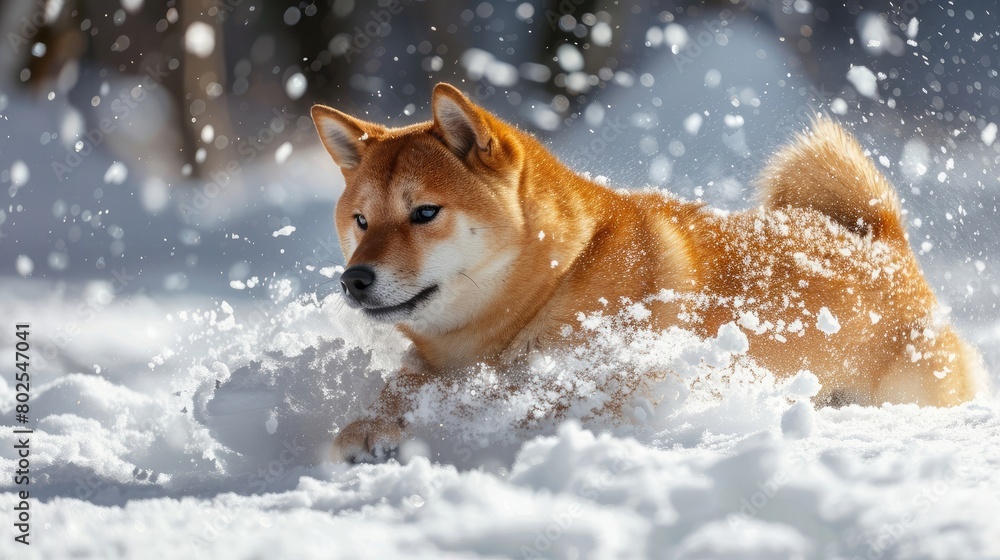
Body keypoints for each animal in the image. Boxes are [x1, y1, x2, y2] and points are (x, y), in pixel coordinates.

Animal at [312, 82, 984, 460]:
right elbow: (402, 390)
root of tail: (885, 243)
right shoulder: (433, 365)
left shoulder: (620, 385)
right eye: (362, 221)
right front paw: (371, 428)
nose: (355, 279)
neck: (556, 277)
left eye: (425, 212)